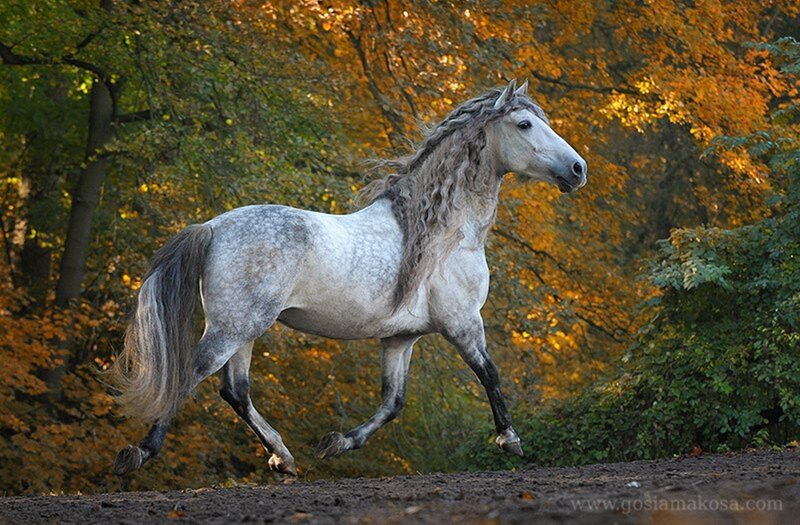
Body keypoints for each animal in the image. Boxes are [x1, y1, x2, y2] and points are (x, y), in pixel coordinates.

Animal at [112, 79, 587, 477]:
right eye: (524, 124)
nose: (578, 169)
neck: (443, 233)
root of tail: (211, 227)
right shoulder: (463, 322)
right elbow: (490, 373)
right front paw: (510, 440)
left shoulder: (400, 338)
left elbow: (393, 402)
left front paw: (337, 442)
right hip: (235, 326)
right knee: (193, 373)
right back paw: (140, 452)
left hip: (245, 329)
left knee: (236, 391)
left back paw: (283, 458)